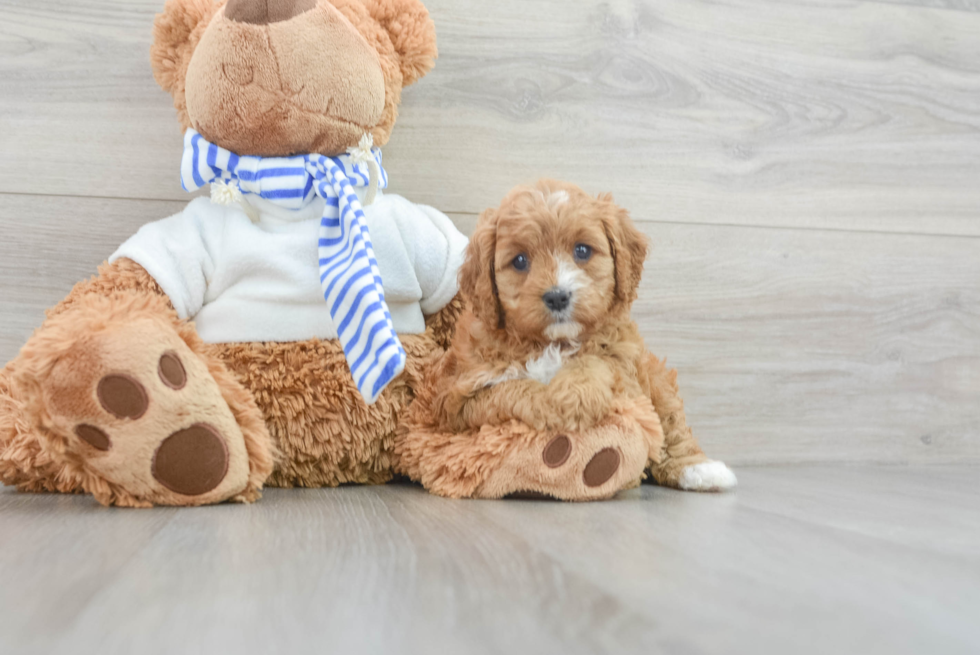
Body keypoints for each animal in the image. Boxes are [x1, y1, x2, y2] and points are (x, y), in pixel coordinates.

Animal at [398, 181, 736, 502]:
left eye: (582, 251)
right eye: (519, 260)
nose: (557, 296)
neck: (550, 343)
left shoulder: (624, 357)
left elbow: (598, 361)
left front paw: (578, 393)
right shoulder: (458, 398)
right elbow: (510, 389)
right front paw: (559, 405)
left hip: (656, 378)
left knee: (672, 425)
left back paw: (700, 470)